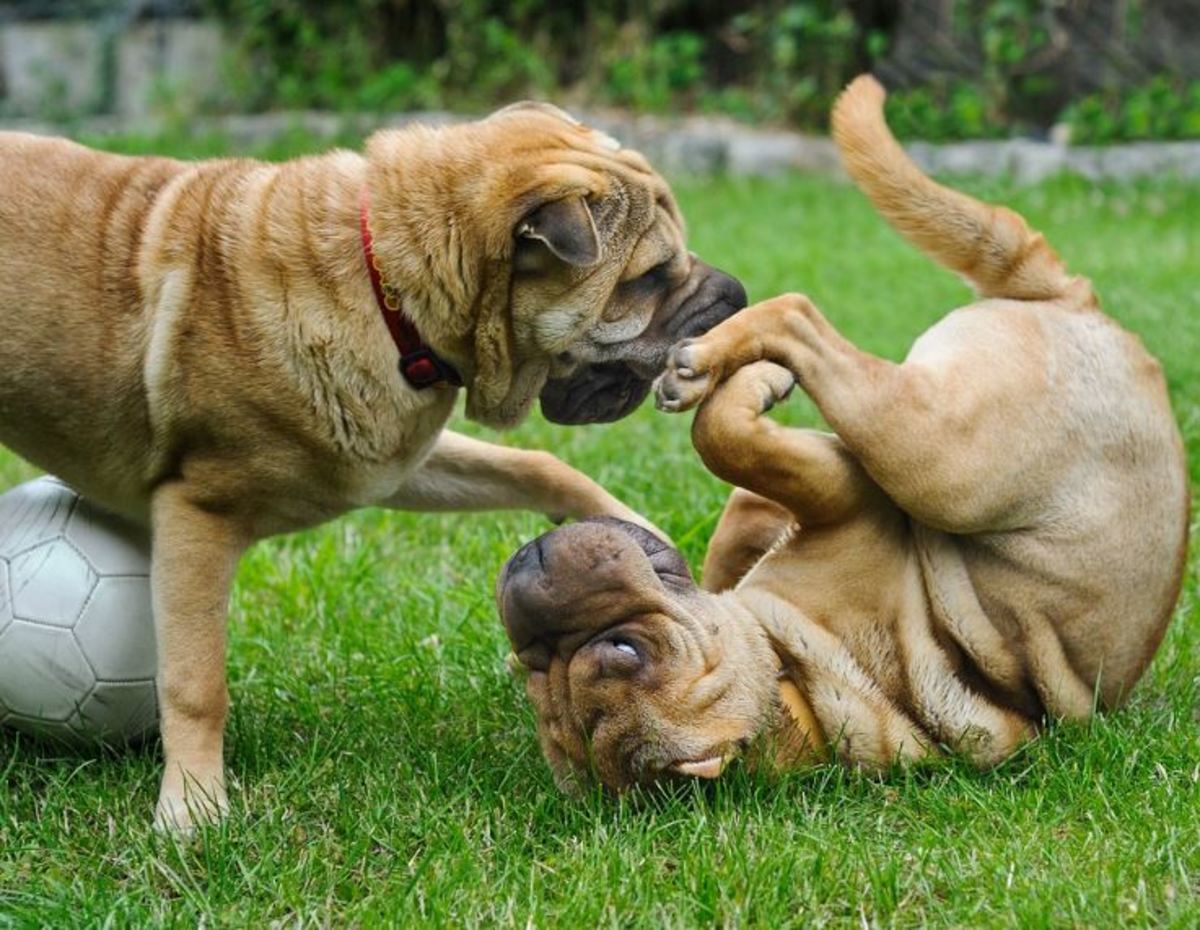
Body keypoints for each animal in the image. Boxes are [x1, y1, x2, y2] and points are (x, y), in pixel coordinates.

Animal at [0, 103, 744, 830]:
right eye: (649, 277)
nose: (737, 295)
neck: (386, 281)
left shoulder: (389, 460)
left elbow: (535, 464)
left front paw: (642, 535)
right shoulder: (198, 513)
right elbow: (194, 680)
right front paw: (192, 811)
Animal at [496, 76, 1190, 787]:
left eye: (624, 650)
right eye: (535, 666)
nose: (531, 566)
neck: (795, 685)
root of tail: (1078, 302)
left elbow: (730, 464)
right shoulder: (844, 495)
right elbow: (721, 436)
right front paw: (753, 383)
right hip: (936, 455)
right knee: (801, 317)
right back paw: (716, 361)